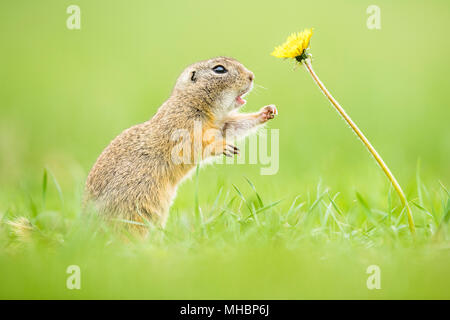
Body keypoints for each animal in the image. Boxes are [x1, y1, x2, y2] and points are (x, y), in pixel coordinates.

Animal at [82, 56, 276, 234]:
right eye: (219, 69)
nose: (251, 76)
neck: (192, 101)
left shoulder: (220, 124)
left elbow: (232, 126)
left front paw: (267, 112)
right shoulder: (181, 125)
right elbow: (192, 145)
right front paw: (223, 147)